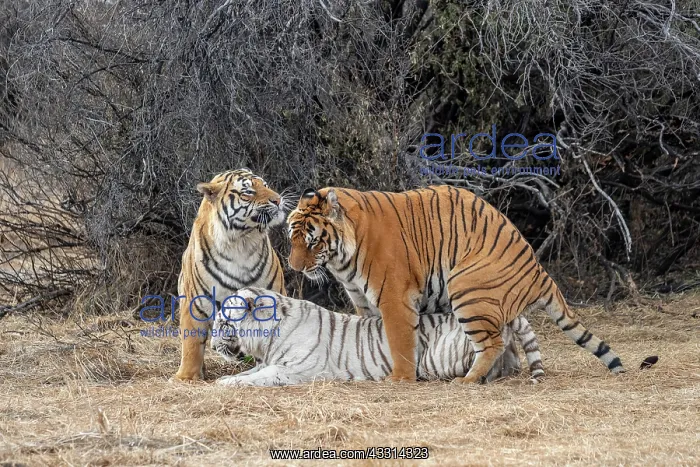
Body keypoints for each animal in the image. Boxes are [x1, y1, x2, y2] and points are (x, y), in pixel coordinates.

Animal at [172, 169, 289, 382]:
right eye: (248, 191)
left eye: (265, 185)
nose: (278, 200)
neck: (242, 241)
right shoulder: (195, 302)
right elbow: (192, 342)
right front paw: (186, 377)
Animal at [211, 288, 545, 386]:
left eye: (223, 322)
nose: (212, 344)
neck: (268, 338)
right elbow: (249, 371)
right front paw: (223, 379)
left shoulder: (295, 370)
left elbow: (258, 377)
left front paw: (225, 384)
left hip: (438, 356)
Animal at [286, 185, 625, 383]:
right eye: (292, 238)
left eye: (313, 241)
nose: (294, 267)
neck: (343, 261)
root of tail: (538, 269)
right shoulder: (362, 300)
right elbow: (370, 339)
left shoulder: (395, 298)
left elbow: (399, 341)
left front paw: (399, 379)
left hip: (467, 289)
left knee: (492, 343)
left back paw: (468, 381)